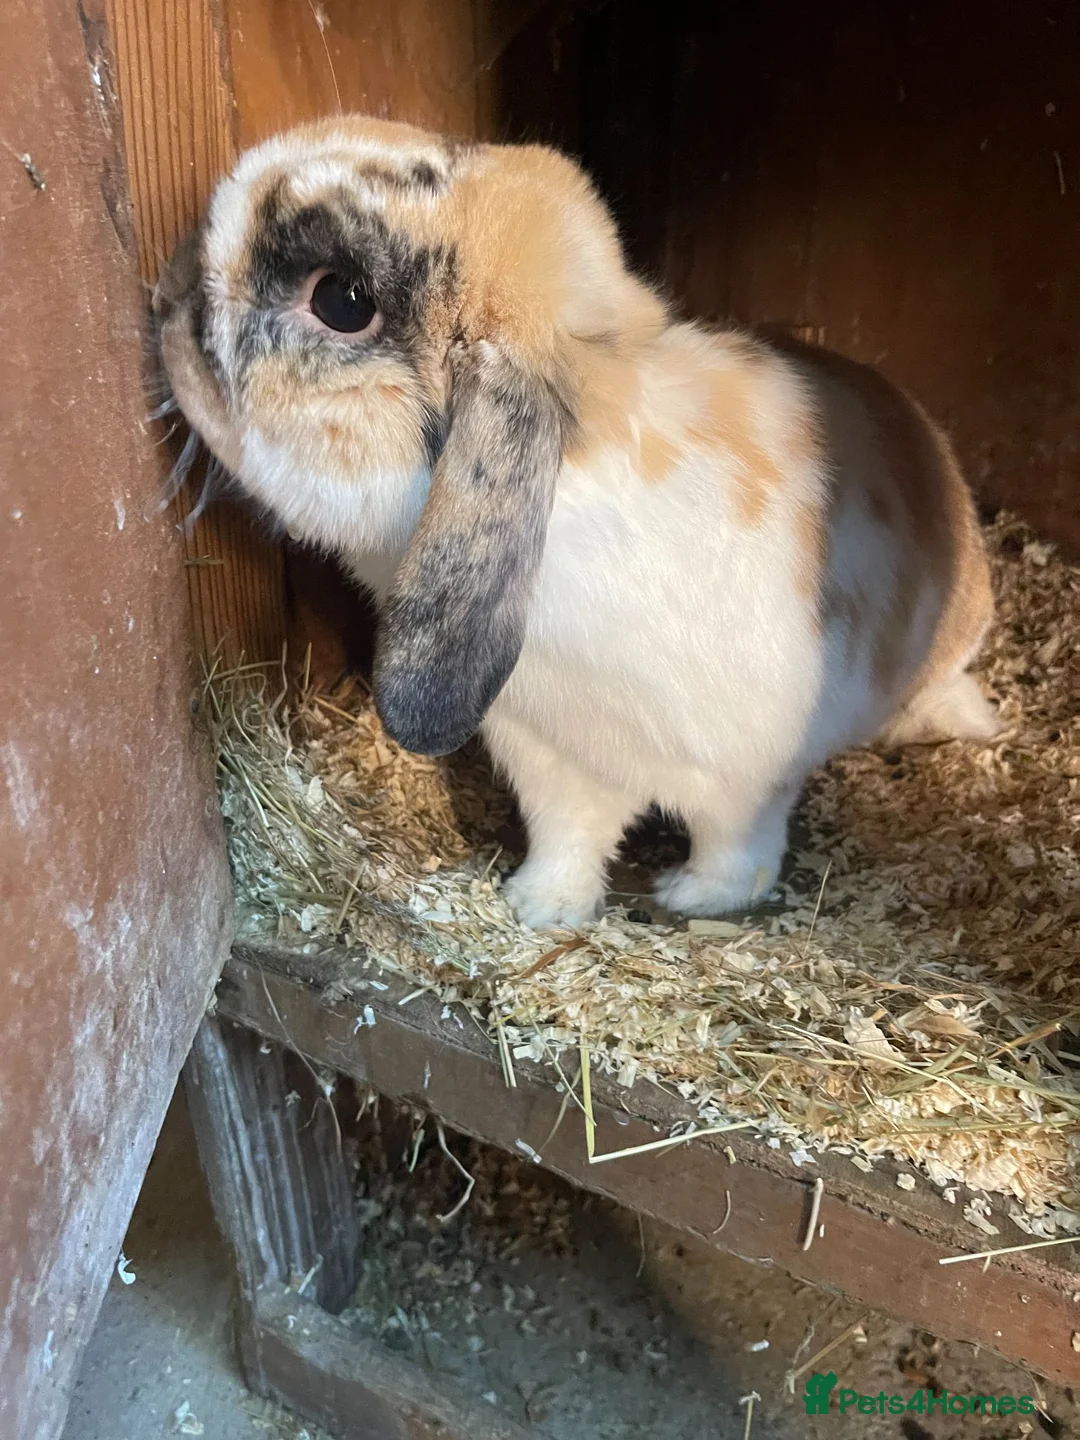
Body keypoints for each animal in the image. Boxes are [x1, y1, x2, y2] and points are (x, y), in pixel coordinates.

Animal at [155, 116, 999, 930]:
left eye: (341, 300)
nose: (166, 297)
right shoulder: (548, 756)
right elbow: (569, 836)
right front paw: (540, 907)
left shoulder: (748, 781)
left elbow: (740, 849)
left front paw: (694, 896)